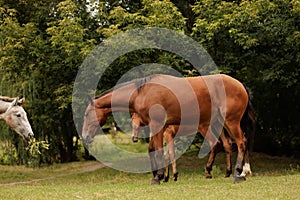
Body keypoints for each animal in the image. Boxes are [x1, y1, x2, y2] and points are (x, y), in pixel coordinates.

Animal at [82, 74, 255, 184]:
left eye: (87, 114)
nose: (84, 137)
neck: (143, 92)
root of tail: (241, 85)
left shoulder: (157, 125)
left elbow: (159, 151)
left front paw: (158, 177)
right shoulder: (157, 127)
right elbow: (154, 150)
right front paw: (160, 175)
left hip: (231, 122)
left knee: (240, 143)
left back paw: (238, 173)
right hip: (222, 123)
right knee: (227, 144)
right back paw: (222, 172)